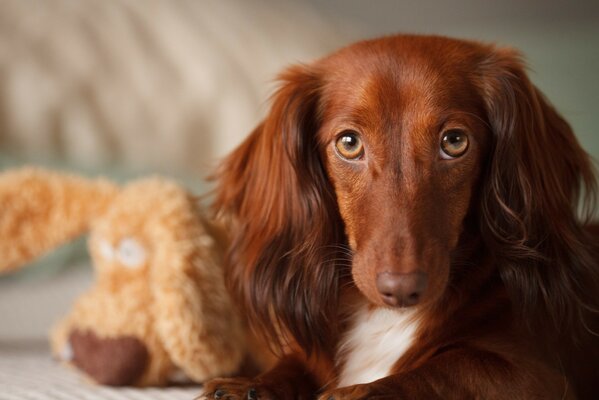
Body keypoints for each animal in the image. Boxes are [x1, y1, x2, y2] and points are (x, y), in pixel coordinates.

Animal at [203, 34, 599, 400]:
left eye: (455, 141)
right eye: (349, 143)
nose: (402, 288)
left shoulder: (537, 376)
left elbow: (448, 368)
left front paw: (361, 391)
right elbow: (293, 365)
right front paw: (251, 385)